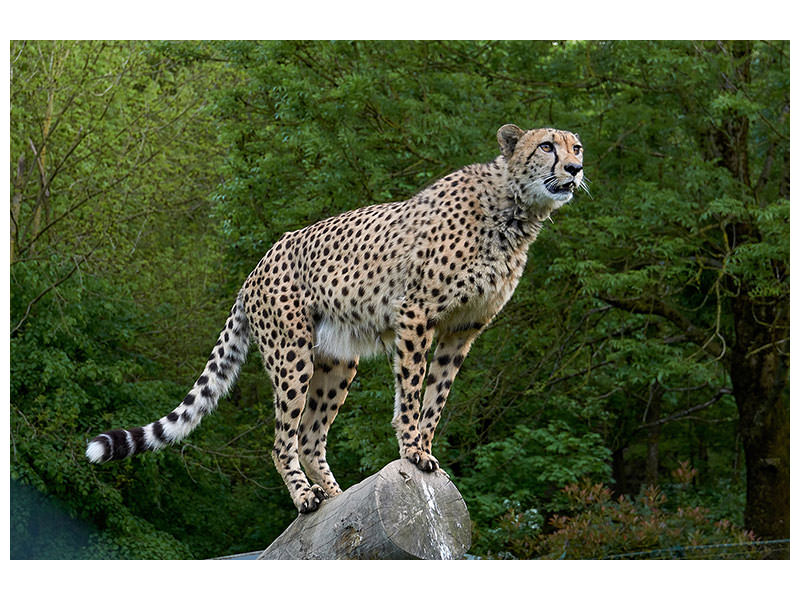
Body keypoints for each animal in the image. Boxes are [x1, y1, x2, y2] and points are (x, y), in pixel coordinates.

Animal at [86, 124, 585, 514]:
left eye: (576, 147)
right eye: (547, 146)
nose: (575, 170)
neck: (514, 210)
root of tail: (256, 266)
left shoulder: (462, 330)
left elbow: (436, 397)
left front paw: (424, 448)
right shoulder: (416, 312)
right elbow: (411, 391)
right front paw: (411, 449)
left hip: (338, 360)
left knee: (310, 436)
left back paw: (336, 494)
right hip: (292, 354)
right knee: (282, 439)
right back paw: (306, 497)